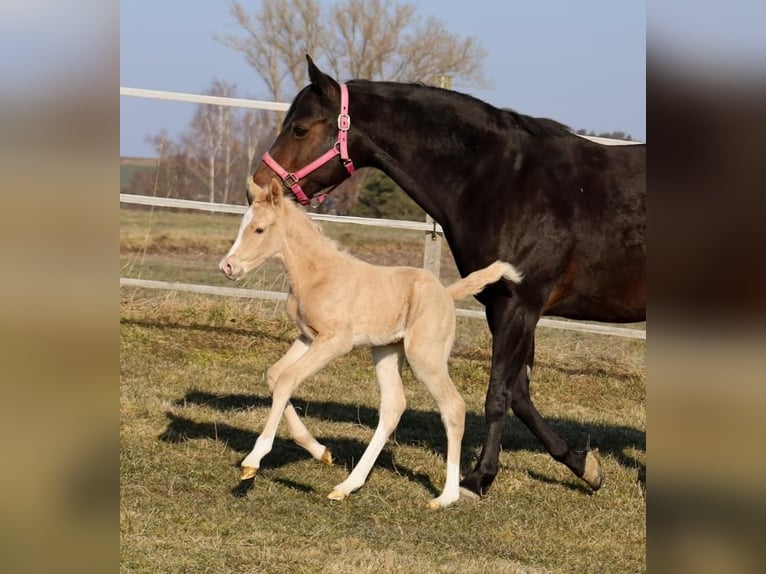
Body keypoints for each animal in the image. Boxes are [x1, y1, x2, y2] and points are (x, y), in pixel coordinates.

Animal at [219, 179, 524, 508]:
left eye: (259, 229)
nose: (227, 267)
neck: (317, 274)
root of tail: (446, 292)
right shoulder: (308, 337)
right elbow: (275, 376)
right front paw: (321, 452)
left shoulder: (334, 341)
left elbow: (288, 380)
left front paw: (253, 461)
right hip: (386, 351)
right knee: (393, 406)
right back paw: (346, 485)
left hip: (425, 357)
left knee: (453, 407)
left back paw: (447, 496)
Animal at [250, 57, 640, 500]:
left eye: (300, 128)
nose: (258, 187)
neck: (506, 181)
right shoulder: (502, 308)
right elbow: (519, 393)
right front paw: (582, 465)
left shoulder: (518, 304)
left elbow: (499, 393)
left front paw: (477, 478)